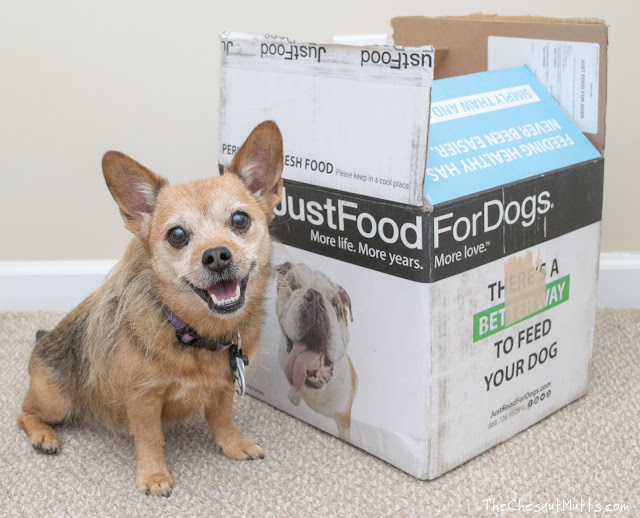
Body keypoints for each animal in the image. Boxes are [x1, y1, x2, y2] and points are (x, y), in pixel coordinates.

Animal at [15, 120, 282, 498]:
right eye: (177, 235)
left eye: (240, 219)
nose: (216, 255)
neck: (191, 332)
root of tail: (42, 342)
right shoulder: (143, 401)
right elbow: (150, 438)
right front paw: (154, 475)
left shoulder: (223, 388)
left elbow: (222, 418)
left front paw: (233, 444)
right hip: (55, 402)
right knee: (23, 413)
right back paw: (43, 435)